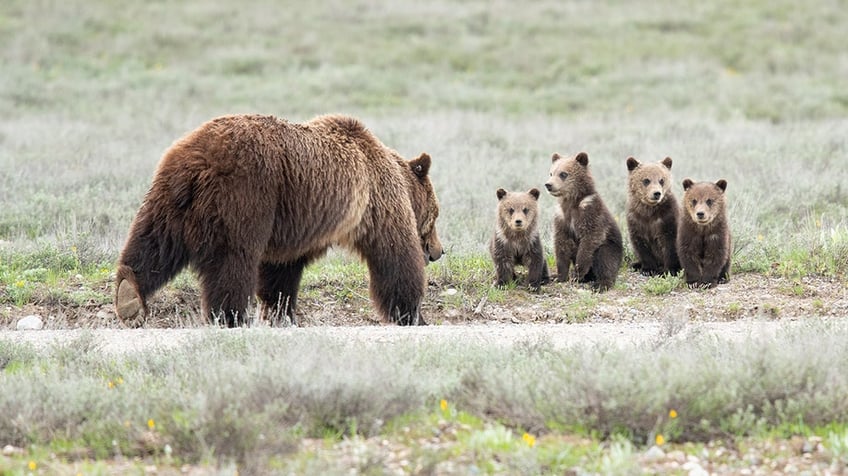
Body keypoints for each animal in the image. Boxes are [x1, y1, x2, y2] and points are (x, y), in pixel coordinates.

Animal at [115, 115, 444, 328]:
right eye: (436, 213)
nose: (439, 251)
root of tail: (199, 161)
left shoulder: (296, 223)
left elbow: (280, 271)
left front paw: (281, 313)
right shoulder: (376, 203)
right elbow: (395, 256)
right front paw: (415, 316)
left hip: (168, 197)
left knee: (154, 245)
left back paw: (128, 296)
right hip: (245, 195)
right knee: (232, 261)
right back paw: (231, 316)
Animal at [544, 152, 624, 290]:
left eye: (563, 174)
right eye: (551, 173)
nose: (548, 185)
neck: (571, 202)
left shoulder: (590, 212)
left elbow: (590, 240)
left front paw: (577, 272)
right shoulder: (561, 217)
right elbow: (561, 244)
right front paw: (558, 276)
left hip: (612, 246)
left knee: (605, 259)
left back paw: (600, 284)